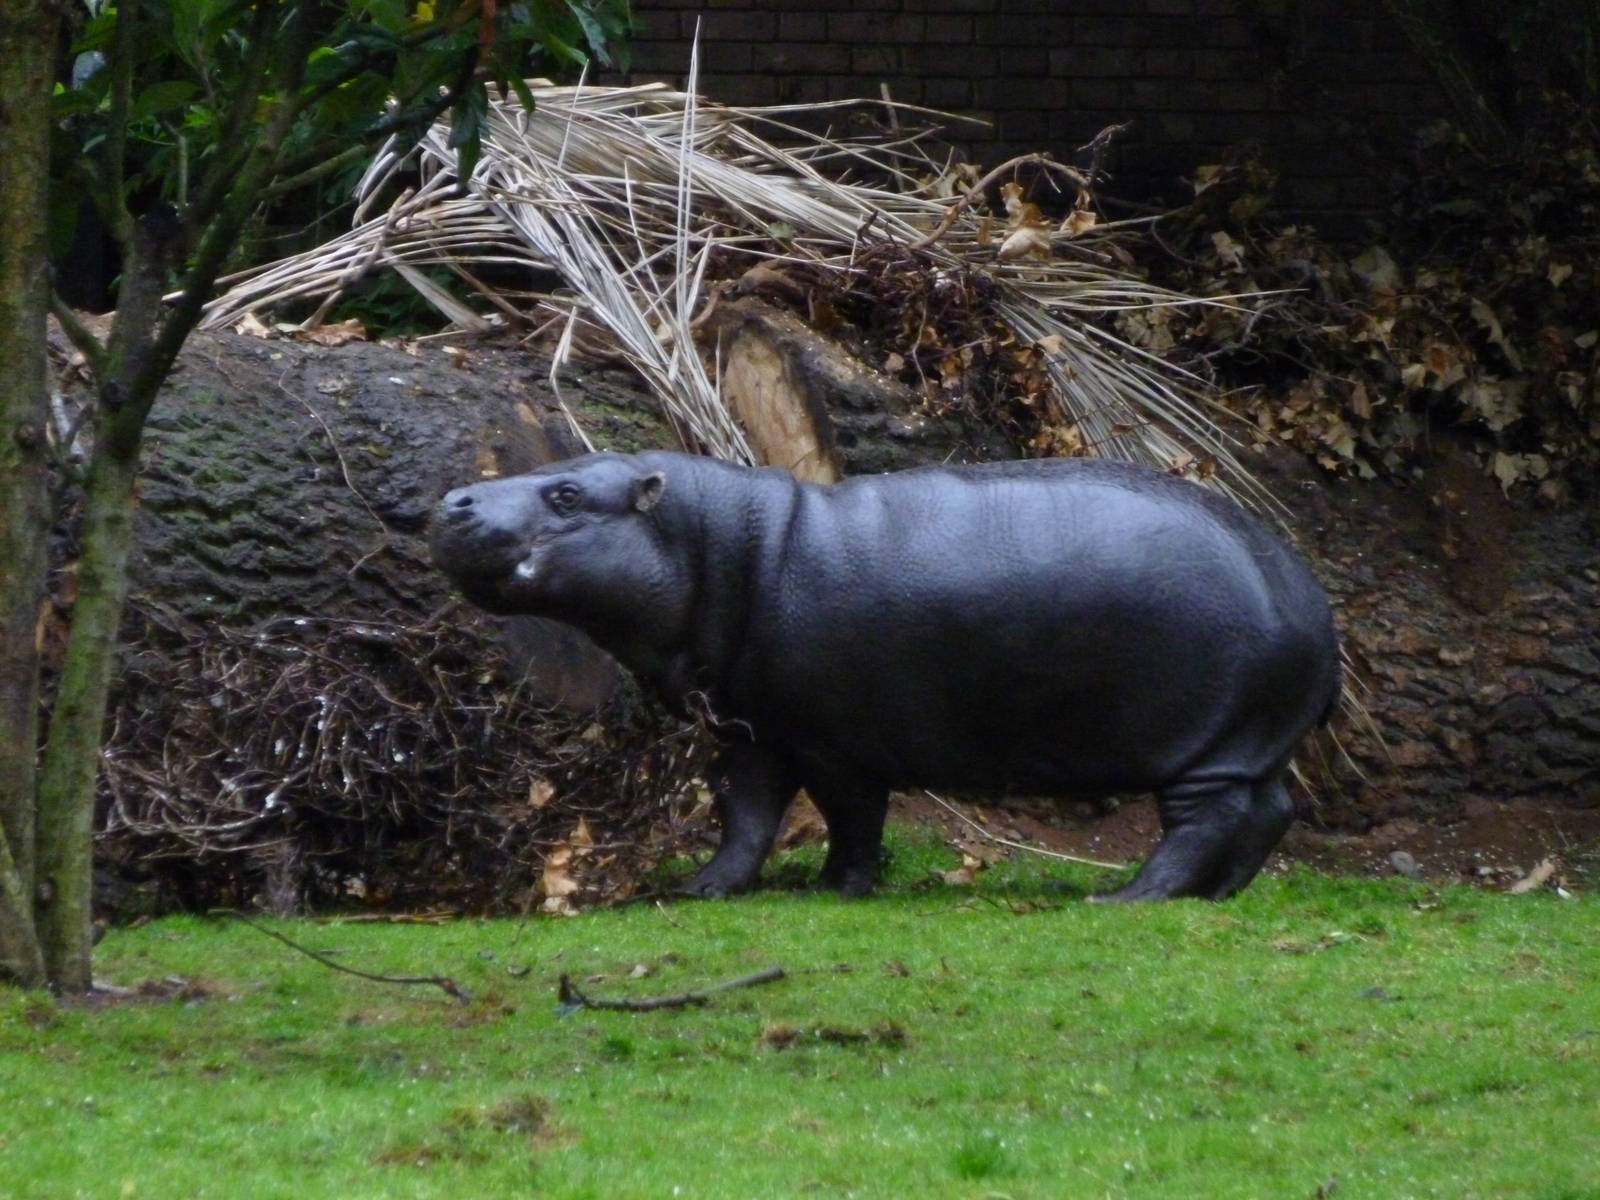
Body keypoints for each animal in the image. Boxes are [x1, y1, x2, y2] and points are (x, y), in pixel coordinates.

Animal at [430, 450, 1340, 902]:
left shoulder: (835, 742)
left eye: (567, 492)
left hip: (1207, 742)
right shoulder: (755, 727)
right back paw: (1220, 898)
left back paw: (1125, 899)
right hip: (1251, 743)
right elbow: (744, 817)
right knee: (1270, 812)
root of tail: (1310, 598)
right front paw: (700, 889)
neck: (724, 546)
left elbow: (851, 816)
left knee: (1203, 824)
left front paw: (840, 888)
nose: (452, 502)